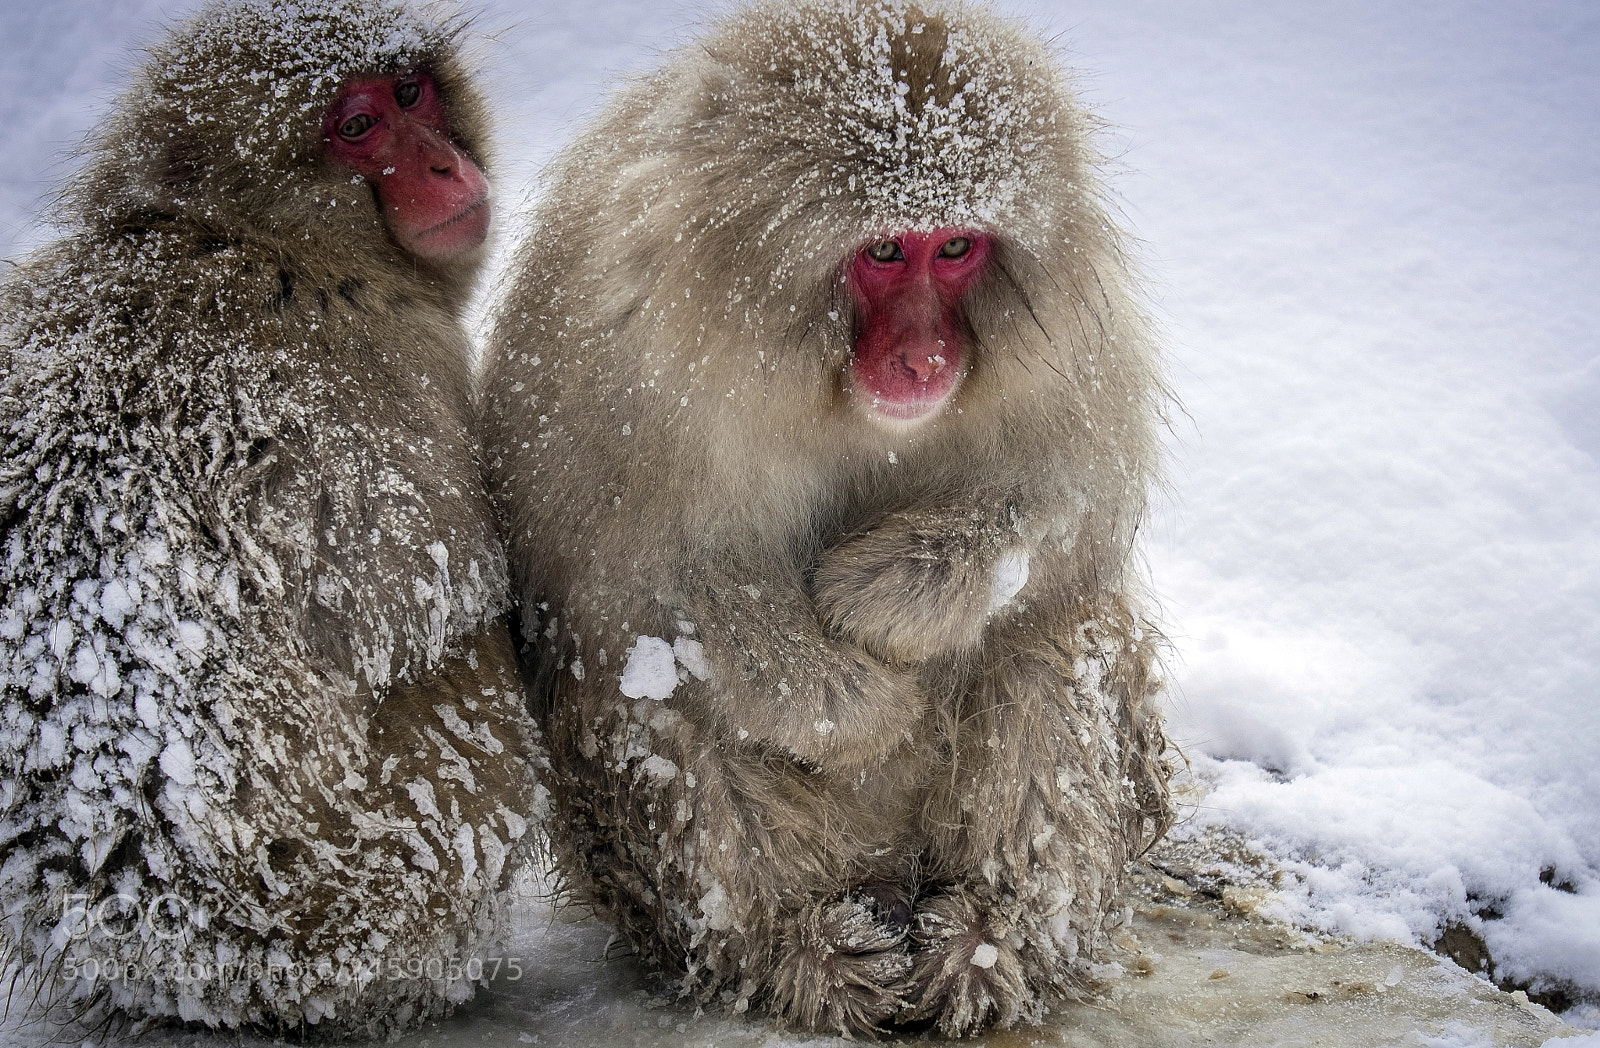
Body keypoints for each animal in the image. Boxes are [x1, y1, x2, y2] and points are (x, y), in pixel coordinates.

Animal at [0, 0, 541, 1037]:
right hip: (379, 879)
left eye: (410, 93)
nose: (444, 168)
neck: (239, 237)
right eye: (357, 127)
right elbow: (419, 609)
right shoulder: (370, 374)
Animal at [482, 0, 1174, 1038]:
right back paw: (796, 949)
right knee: (650, 692)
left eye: (956, 248)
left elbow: (1067, 504)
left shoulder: (1074, 358)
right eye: (885, 251)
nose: (926, 359)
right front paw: (857, 703)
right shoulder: (610, 356)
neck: (831, 394)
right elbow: (628, 575)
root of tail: (884, 872)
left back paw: (989, 938)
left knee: (1051, 641)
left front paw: (882, 595)